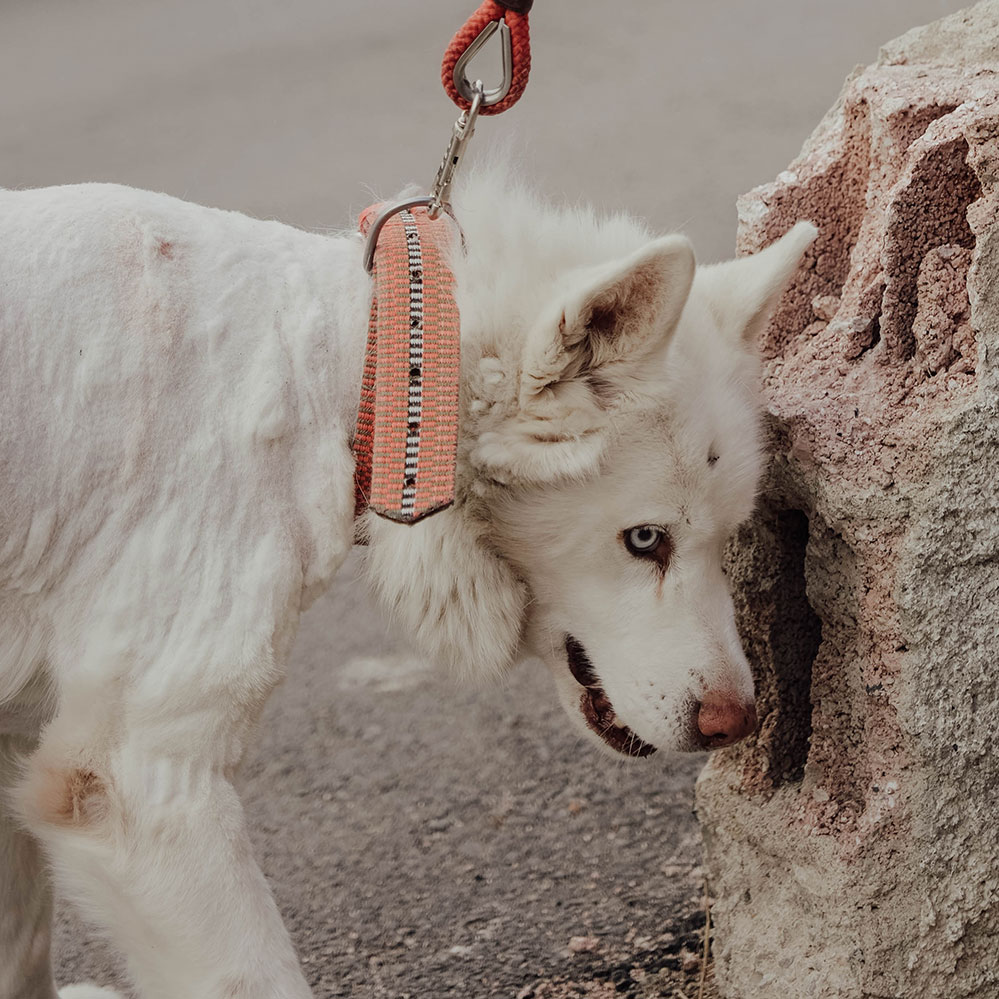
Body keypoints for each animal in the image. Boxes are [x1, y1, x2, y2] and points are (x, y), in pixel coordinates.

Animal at [0, 170, 815, 998]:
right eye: (645, 540)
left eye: (723, 538)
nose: (735, 723)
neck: (348, 370)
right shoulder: (141, 784)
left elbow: (21, 941)